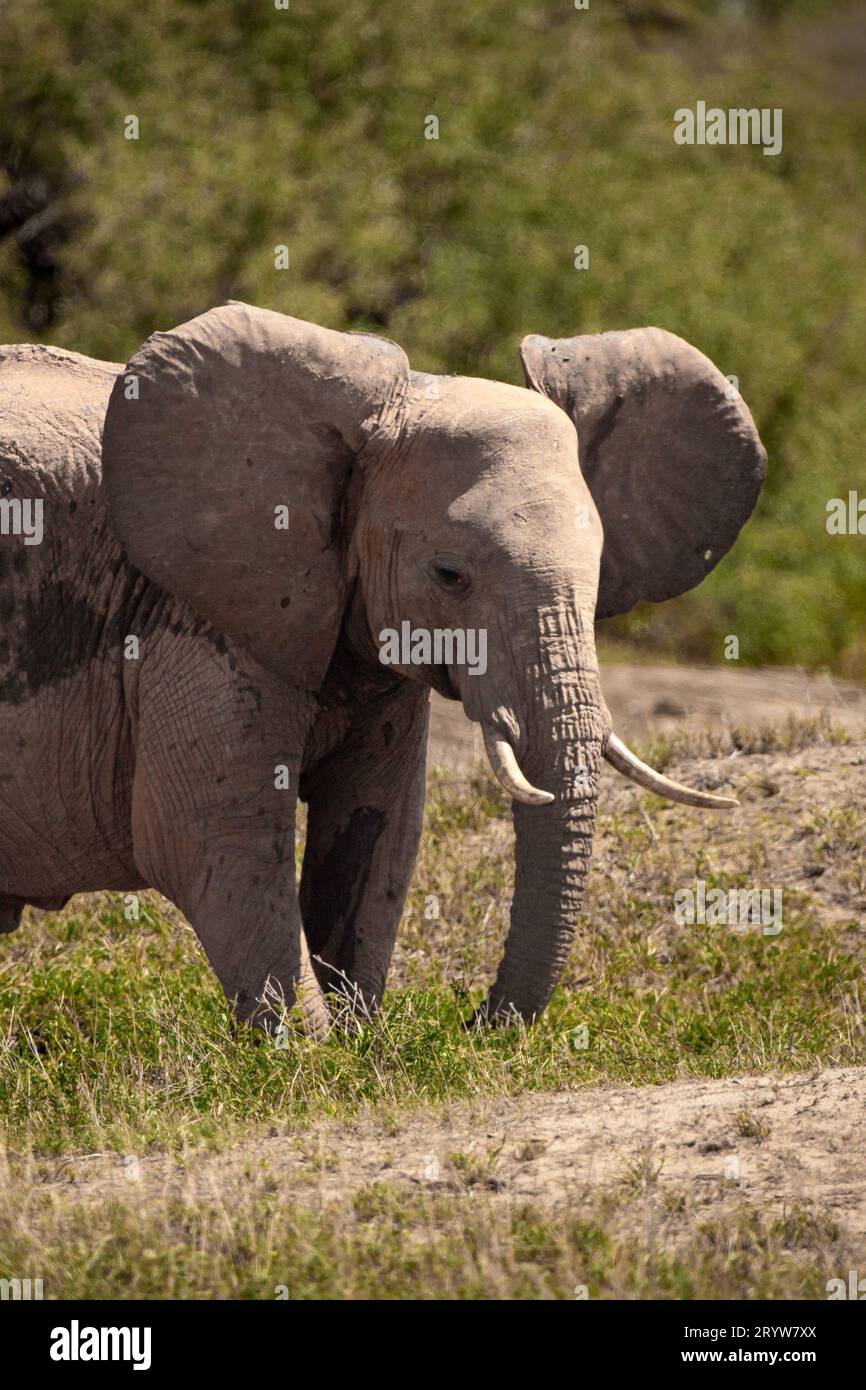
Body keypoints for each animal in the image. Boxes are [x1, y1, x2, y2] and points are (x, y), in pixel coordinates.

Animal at [0, 309, 767, 1039]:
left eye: (601, 571)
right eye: (450, 575)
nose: (475, 1021)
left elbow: (379, 829)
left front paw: (359, 1041)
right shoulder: (195, 618)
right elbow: (211, 841)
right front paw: (313, 1056)